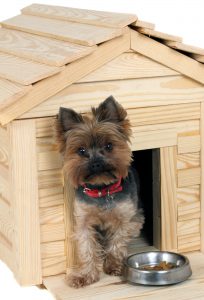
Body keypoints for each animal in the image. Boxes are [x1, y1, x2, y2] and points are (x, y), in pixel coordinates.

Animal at [55, 96, 144, 288]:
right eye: (81, 150)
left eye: (109, 146)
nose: (96, 163)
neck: (102, 190)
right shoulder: (83, 222)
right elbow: (86, 248)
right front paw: (85, 276)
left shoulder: (126, 218)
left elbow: (117, 241)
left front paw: (114, 266)